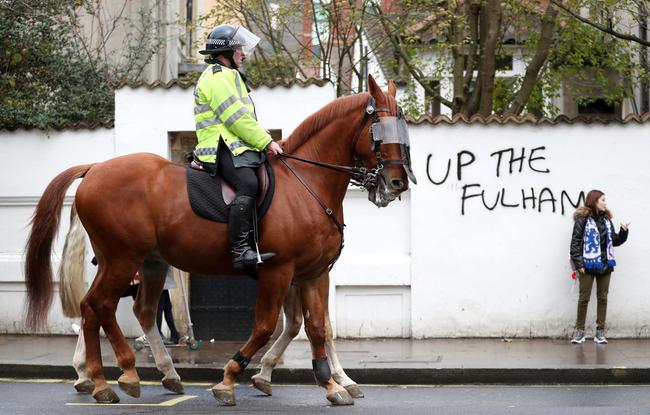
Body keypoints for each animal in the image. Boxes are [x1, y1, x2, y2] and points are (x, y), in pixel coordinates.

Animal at [26, 75, 410, 406]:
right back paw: (120, 375)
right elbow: (266, 326)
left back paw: (130, 377)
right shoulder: (278, 272)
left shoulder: (313, 273)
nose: (397, 183)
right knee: (99, 305)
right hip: (122, 259)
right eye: (379, 129)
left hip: (148, 262)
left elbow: (317, 328)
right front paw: (229, 379)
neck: (307, 183)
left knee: (126, 310)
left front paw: (330, 384)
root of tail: (95, 168)